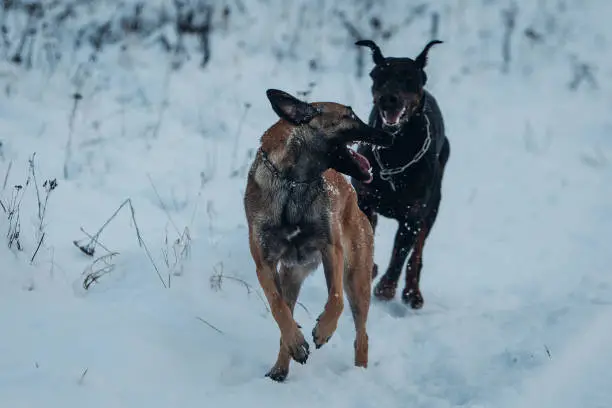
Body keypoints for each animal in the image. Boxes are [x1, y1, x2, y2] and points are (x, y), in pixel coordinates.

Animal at [243, 89, 392, 382]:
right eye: (349, 115)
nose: (389, 135)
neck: (292, 183)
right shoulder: (264, 264)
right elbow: (278, 308)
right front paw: (296, 342)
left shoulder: (331, 250)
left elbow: (335, 299)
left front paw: (324, 330)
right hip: (291, 277)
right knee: (286, 314)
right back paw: (283, 364)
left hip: (357, 280)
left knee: (362, 335)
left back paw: (358, 374)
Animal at [350, 39, 450, 310]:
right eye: (379, 76)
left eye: (408, 78)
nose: (389, 99)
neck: (396, 151)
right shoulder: (364, 200)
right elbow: (365, 237)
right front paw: (369, 269)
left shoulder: (413, 216)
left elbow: (401, 254)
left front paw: (385, 288)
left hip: (433, 207)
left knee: (417, 253)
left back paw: (412, 293)